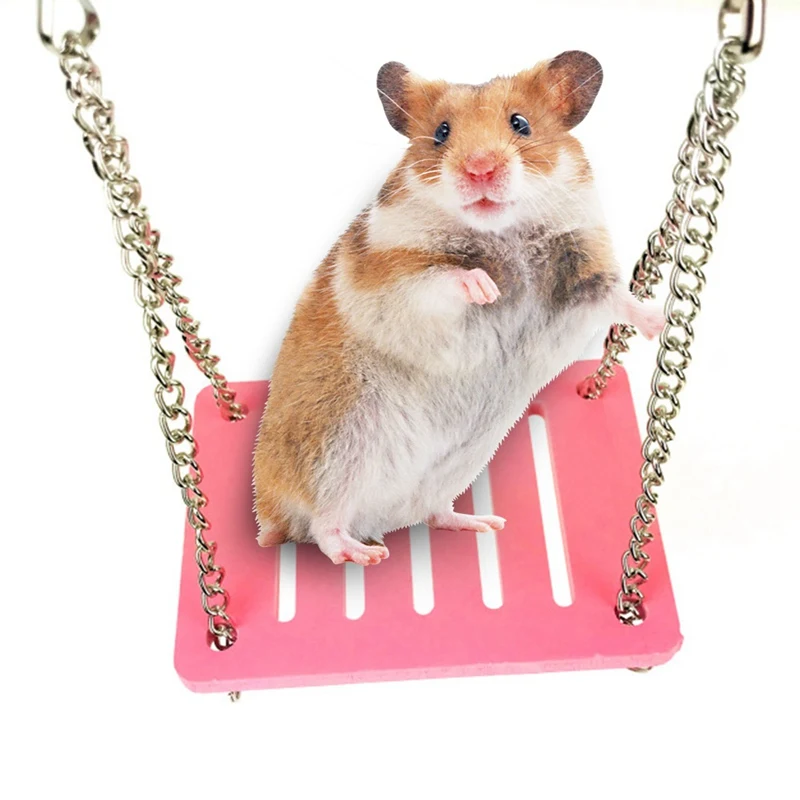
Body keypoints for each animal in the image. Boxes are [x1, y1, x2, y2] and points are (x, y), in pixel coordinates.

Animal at [252, 51, 663, 566]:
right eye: (441, 132)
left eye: (521, 123)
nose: (480, 169)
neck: (503, 231)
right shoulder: (392, 276)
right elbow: (442, 278)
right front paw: (486, 288)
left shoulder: (584, 272)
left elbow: (617, 297)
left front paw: (659, 322)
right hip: (336, 448)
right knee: (323, 526)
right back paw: (363, 554)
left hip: (455, 464)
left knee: (431, 513)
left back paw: (481, 524)